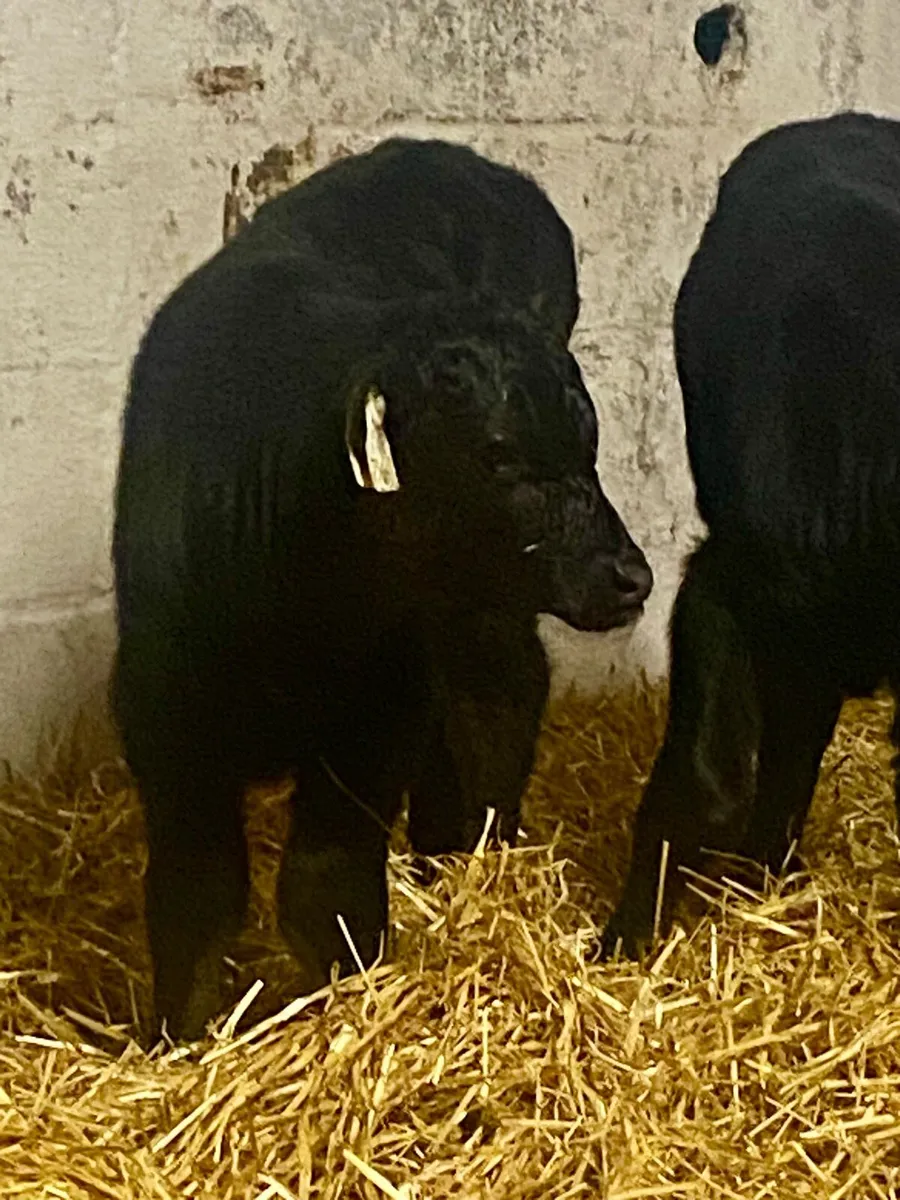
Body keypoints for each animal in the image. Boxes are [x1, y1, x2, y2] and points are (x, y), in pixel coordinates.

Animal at [112, 137, 653, 1040]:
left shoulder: (380, 709)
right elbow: (197, 895)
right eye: (497, 454)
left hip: (478, 609)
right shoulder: (166, 721)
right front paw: (180, 1037)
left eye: (590, 446)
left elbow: (324, 884)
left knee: (501, 693)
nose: (631, 577)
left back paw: (476, 850)